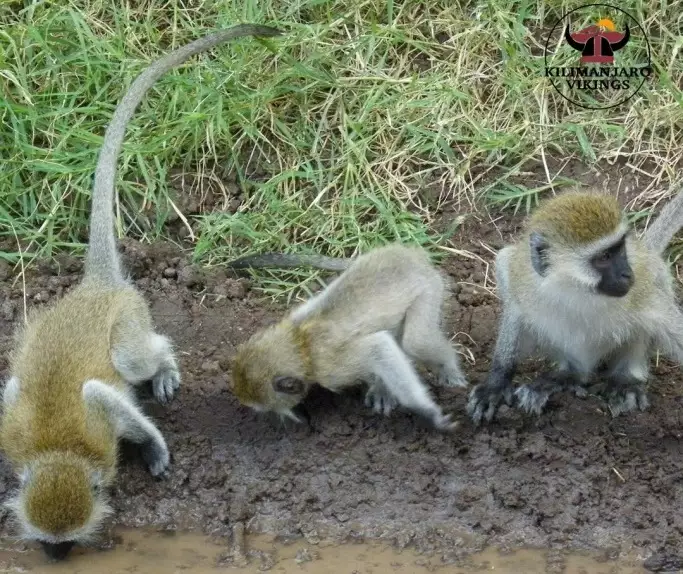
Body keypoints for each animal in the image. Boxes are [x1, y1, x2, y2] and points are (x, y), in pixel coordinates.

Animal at [0, 24, 284, 564]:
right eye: (49, 544)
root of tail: (97, 288)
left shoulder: (101, 426)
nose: (55, 559)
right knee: (12, 386)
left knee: (135, 357)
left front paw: (154, 447)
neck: (57, 455)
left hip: (128, 318)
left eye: (67, 543)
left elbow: (106, 398)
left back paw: (164, 366)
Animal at [227, 243, 468, 432]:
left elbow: (379, 346)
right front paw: (380, 386)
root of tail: (410, 254)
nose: (284, 416)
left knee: (417, 341)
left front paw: (427, 412)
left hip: (430, 286)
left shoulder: (330, 371)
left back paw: (449, 369)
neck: (301, 344)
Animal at [468, 190, 683, 428]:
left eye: (620, 249)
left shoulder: (642, 290)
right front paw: (496, 382)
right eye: (604, 257)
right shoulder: (522, 278)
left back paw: (625, 379)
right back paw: (566, 376)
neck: (578, 291)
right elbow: (514, 309)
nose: (627, 274)